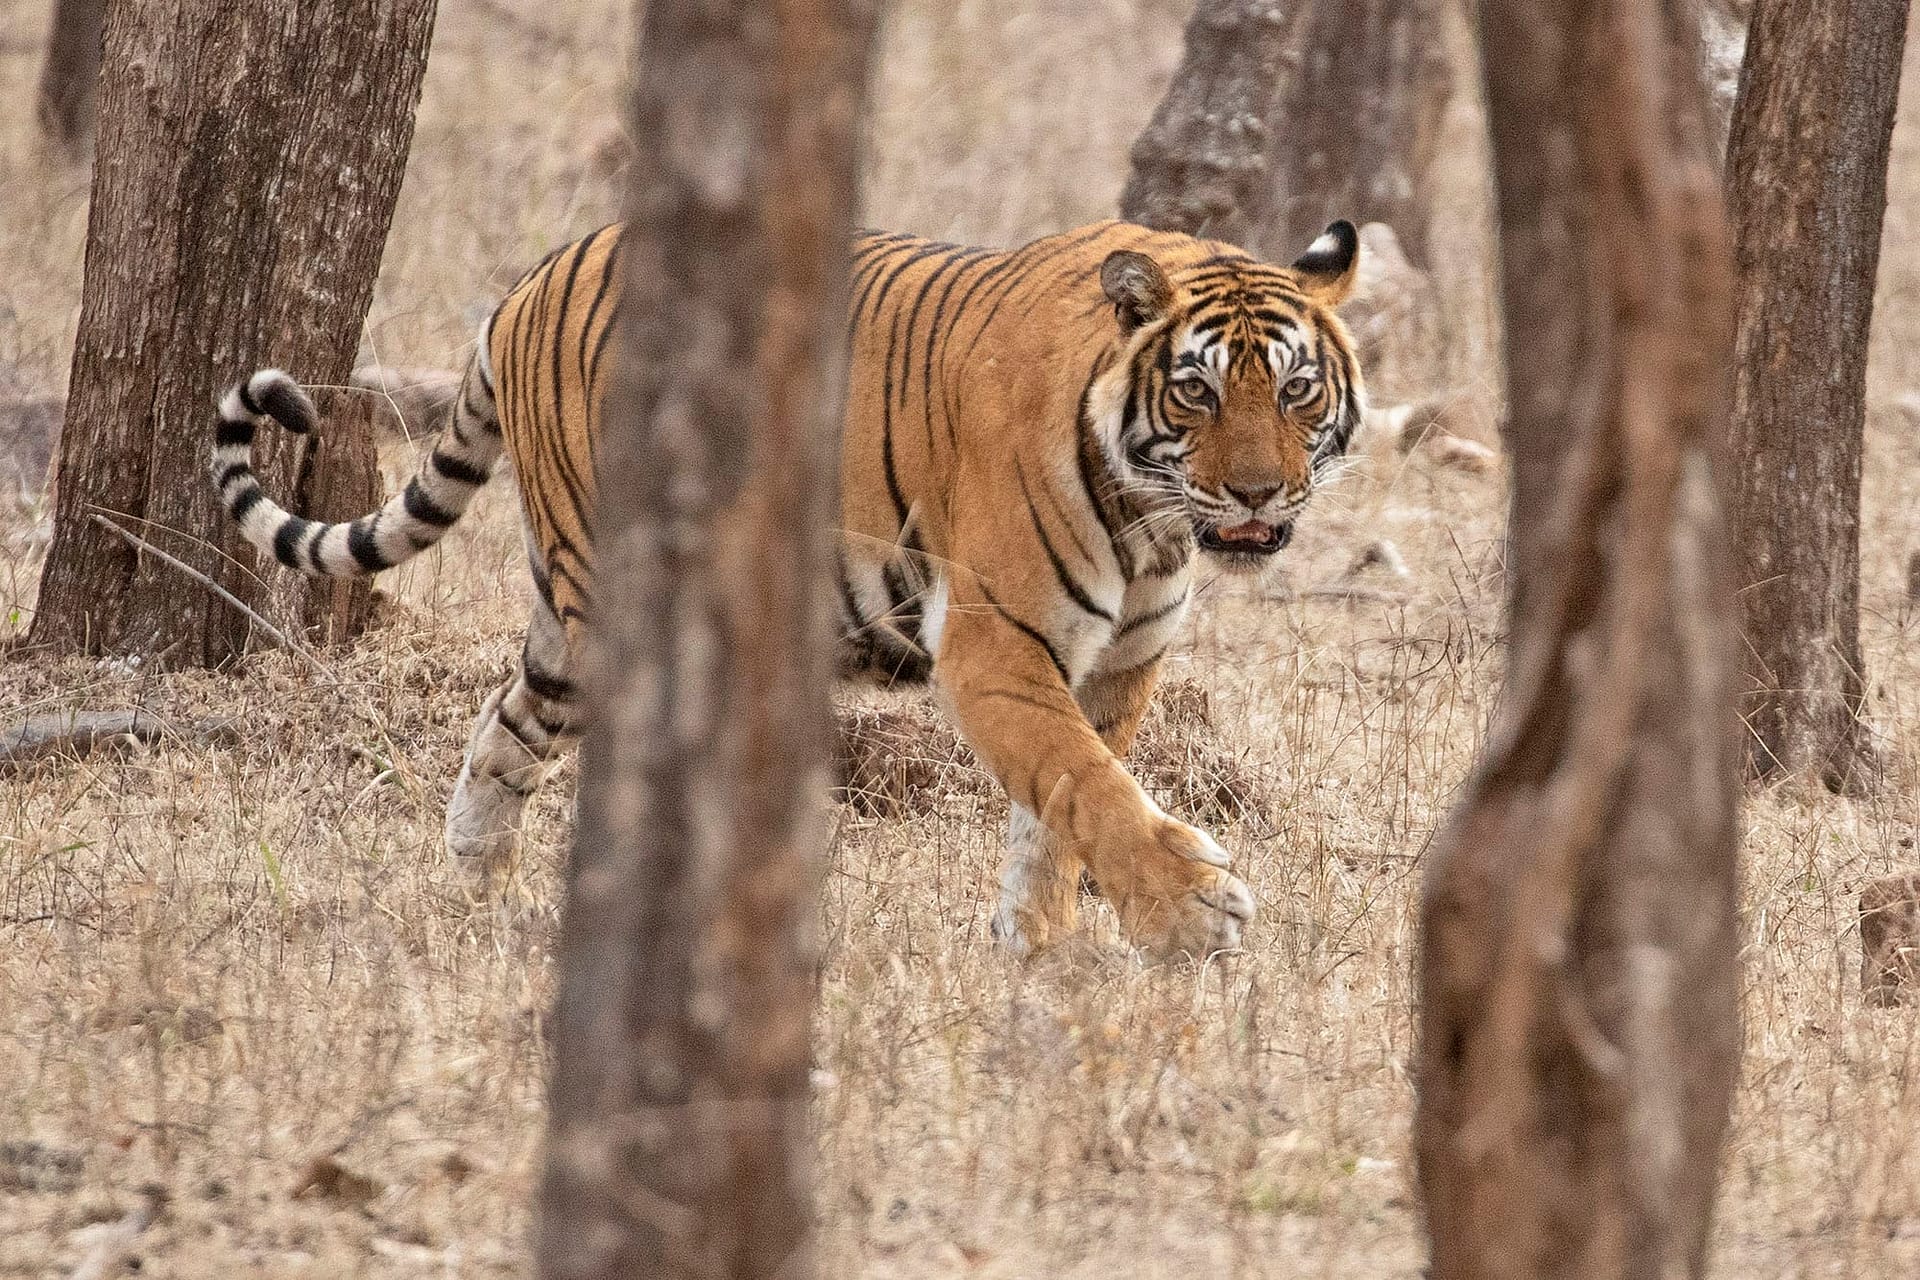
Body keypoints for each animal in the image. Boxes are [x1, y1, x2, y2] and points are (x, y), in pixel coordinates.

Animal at [214, 220, 1367, 955]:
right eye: (1197, 390)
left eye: (1298, 391)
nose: (1258, 491)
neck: (1151, 519)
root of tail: (530, 279)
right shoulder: (1000, 644)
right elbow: (1088, 786)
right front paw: (1193, 914)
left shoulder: (1122, 662)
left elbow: (1060, 807)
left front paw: (1039, 947)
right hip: (611, 594)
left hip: (562, 633)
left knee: (504, 724)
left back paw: (474, 895)